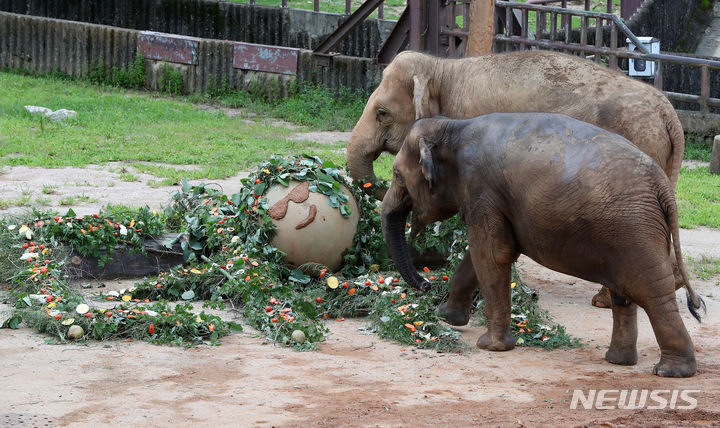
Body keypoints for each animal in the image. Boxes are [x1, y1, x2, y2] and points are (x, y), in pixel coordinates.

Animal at [348, 50, 688, 310]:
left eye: (382, 113)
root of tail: (670, 114)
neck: (442, 69)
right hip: (661, 160)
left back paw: (604, 301)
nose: (426, 287)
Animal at [382, 113, 704, 378]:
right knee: (624, 293)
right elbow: (483, 254)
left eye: (397, 174)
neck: (452, 126)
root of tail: (663, 188)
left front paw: (490, 346)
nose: (425, 285)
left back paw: (671, 372)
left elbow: (491, 254)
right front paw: (446, 318)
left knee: (652, 294)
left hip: (633, 231)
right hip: (624, 234)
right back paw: (618, 361)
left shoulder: (481, 188)